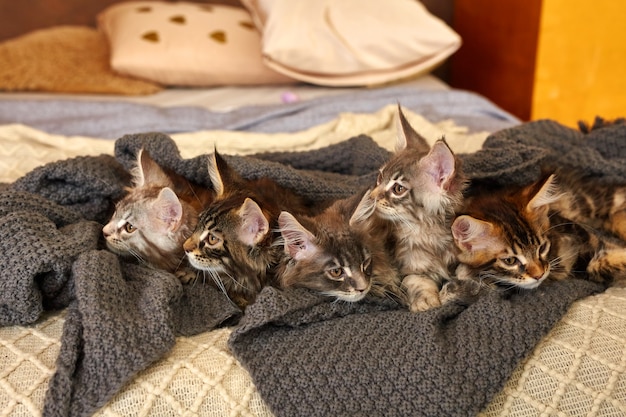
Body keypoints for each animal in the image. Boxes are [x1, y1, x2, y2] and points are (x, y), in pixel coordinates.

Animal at [356, 105, 468, 310]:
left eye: (398, 189)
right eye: (379, 178)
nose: (372, 197)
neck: (428, 233)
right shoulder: (406, 269)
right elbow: (418, 281)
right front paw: (427, 301)